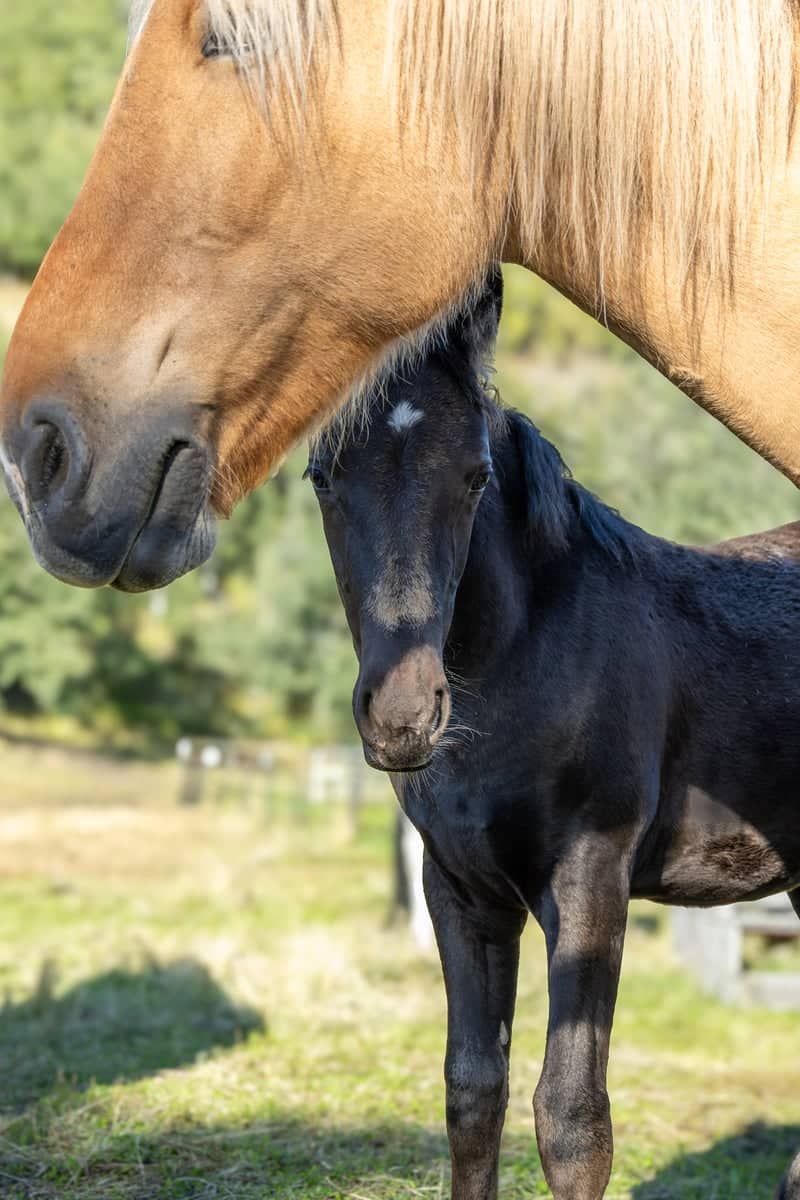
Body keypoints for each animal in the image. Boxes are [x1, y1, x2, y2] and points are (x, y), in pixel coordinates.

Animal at [309, 270, 800, 1200]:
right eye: (321, 477)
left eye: (474, 476)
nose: (402, 715)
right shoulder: (459, 889)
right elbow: (472, 1092)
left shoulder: (590, 879)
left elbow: (573, 1118)